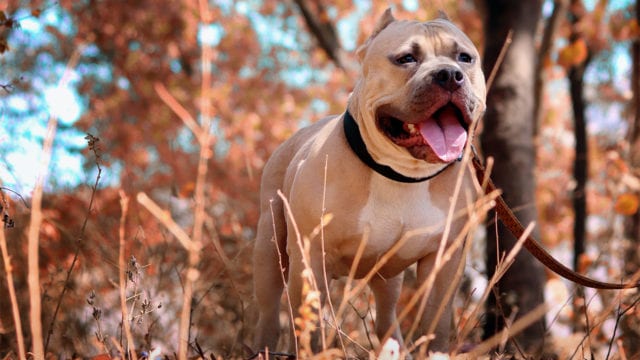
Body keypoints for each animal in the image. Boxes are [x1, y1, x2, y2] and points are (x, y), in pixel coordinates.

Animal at [252, 9, 488, 356]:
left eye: (464, 58)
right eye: (406, 58)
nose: (449, 74)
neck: (400, 173)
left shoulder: (443, 261)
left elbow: (436, 321)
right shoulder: (311, 257)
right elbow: (309, 324)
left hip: (388, 280)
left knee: (386, 318)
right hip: (271, 251)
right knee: (268, 311)